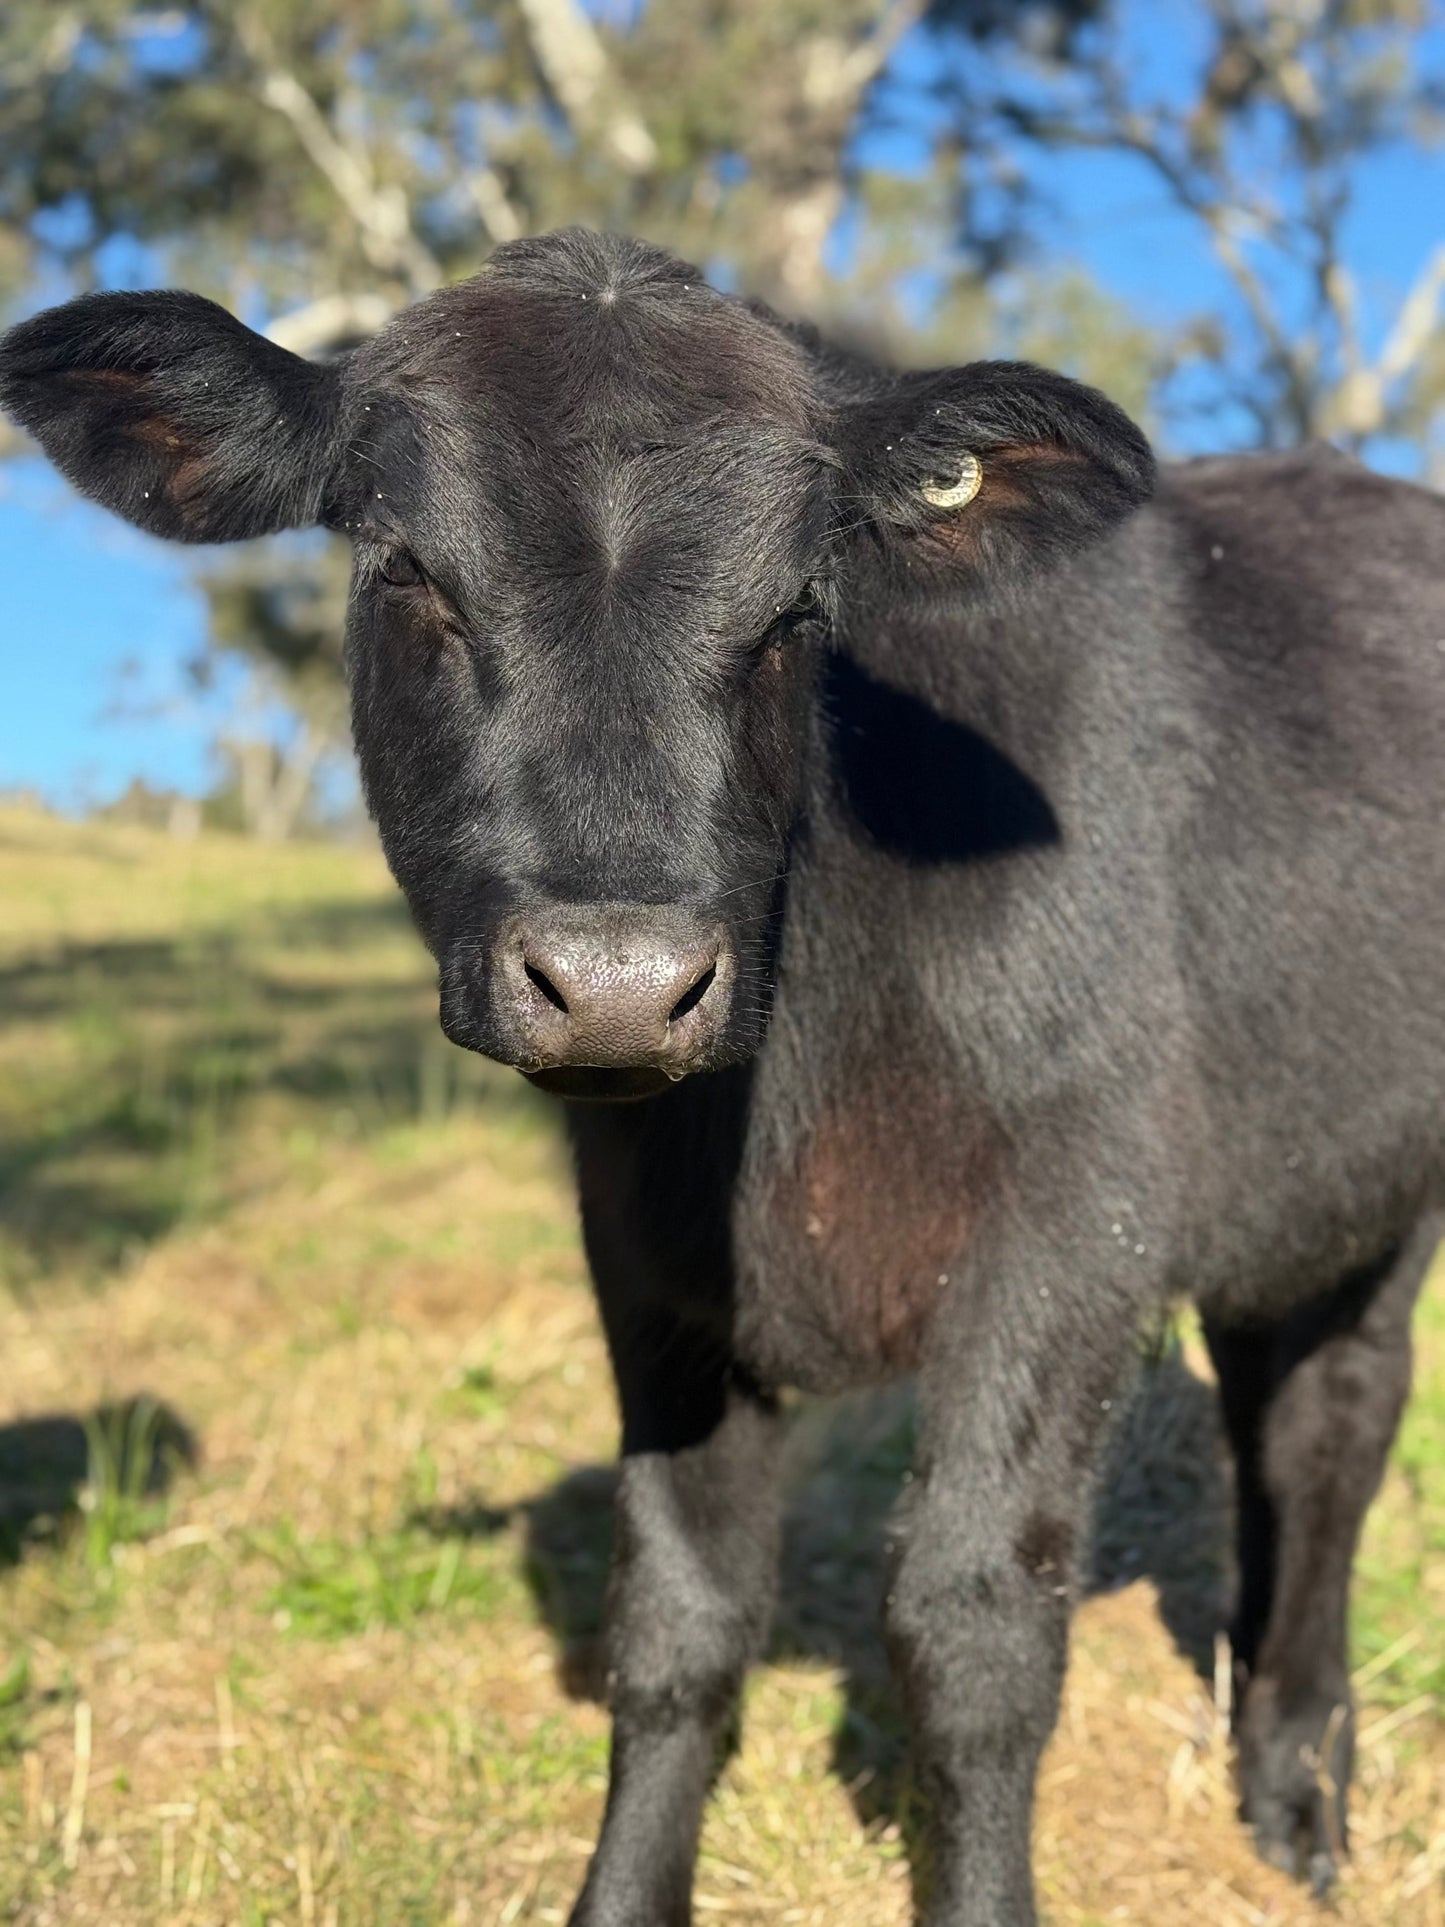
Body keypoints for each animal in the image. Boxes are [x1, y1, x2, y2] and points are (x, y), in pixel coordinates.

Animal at [2, 227, 1441, 1927]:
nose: (619, 979)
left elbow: (972, 1624)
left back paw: (1294, 1777)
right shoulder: (650, 1255)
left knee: (1335, 1430)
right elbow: (677, 1611)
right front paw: (619, 1894)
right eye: (409, 569)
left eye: (799, 604)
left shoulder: (1071, 1226)